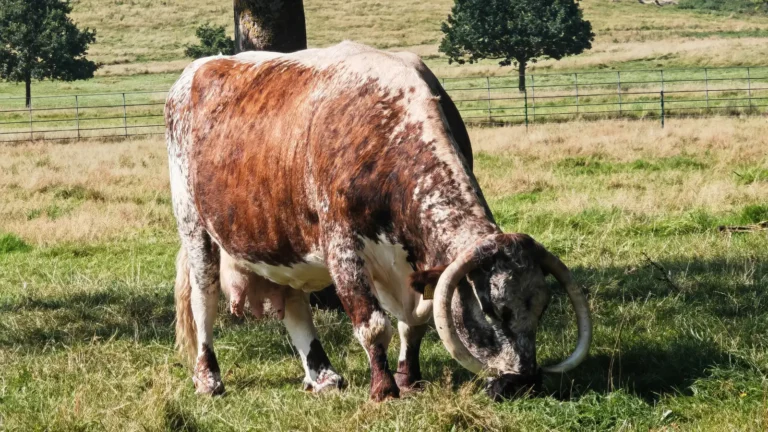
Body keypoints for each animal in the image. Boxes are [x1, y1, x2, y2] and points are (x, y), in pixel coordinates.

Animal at [165, 41, 591, 401]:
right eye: (492, 310)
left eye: (542, 307)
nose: (524, 382)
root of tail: (196, 70)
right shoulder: (343, 248)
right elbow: (373, 324)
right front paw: (384, 389)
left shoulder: (411, 262)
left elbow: (414, 322)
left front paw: (409, 377)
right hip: (194, 227)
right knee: (204, 300)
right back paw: (208, 377)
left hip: (282, 237)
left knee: (295, 304)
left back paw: (322, 376)